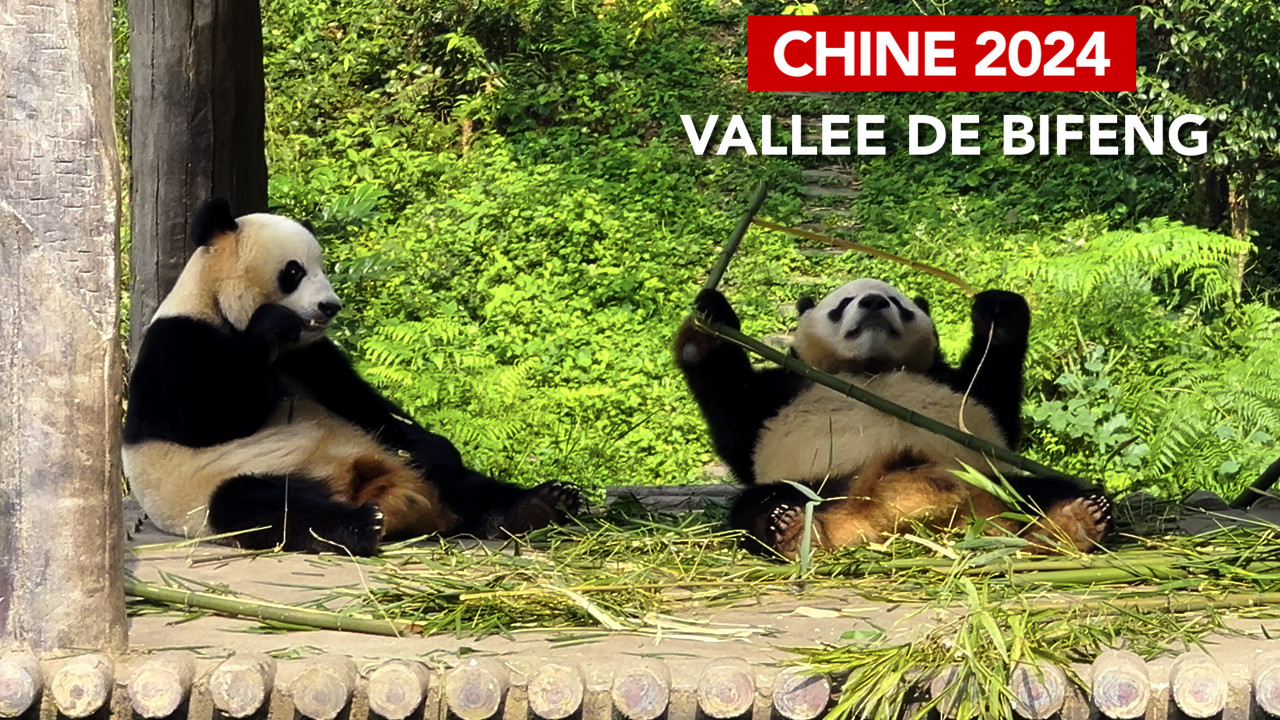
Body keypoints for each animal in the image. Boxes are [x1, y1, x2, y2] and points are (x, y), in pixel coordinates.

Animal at [122, 198, 581, 556]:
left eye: (321, 266)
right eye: (294, 271)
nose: (330, 306)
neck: (220, 304)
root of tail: (383, 492)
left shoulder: (311, 357)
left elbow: (361, 400)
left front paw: (437, 448)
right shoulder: (179, 342)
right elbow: (206, 421)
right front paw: (271, 324)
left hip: (386, 453)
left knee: (465, 485)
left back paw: (540, 504)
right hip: (213, 487)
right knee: (264, 507)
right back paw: (359, 525)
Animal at [674, 279, 1111, 559]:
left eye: (897, 302)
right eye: (843, 304)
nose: (873, 303)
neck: (870, 368)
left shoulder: (949, 382)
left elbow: (994, 407)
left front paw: (999, 315)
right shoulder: (782, 391)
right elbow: (735, 423)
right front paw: (708, 322)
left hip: (984, 480)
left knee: (1044, 490)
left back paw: (1076, 520)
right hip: (827, 485)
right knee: (760, 504)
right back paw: (791, 530)